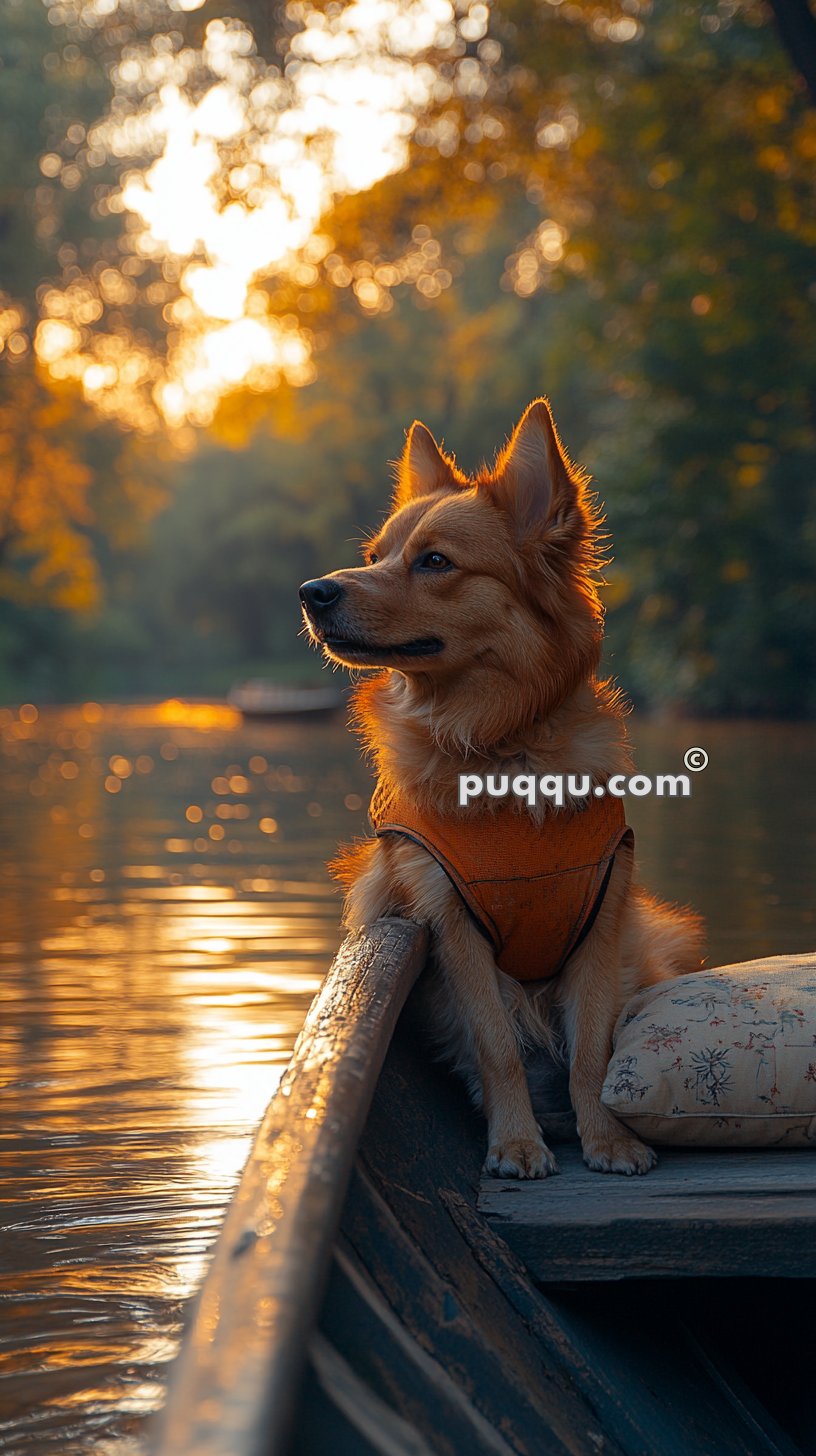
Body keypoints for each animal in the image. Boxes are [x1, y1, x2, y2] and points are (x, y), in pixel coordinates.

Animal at [300, 401, 702, 1182]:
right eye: (375, 556)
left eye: (434, 561)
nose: (313, 592)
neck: (505, 750)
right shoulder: (452, 924)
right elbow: (496, 1048)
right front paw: (516, 1141)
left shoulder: (600, 923)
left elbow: (593, 1052)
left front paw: (608, 1138)